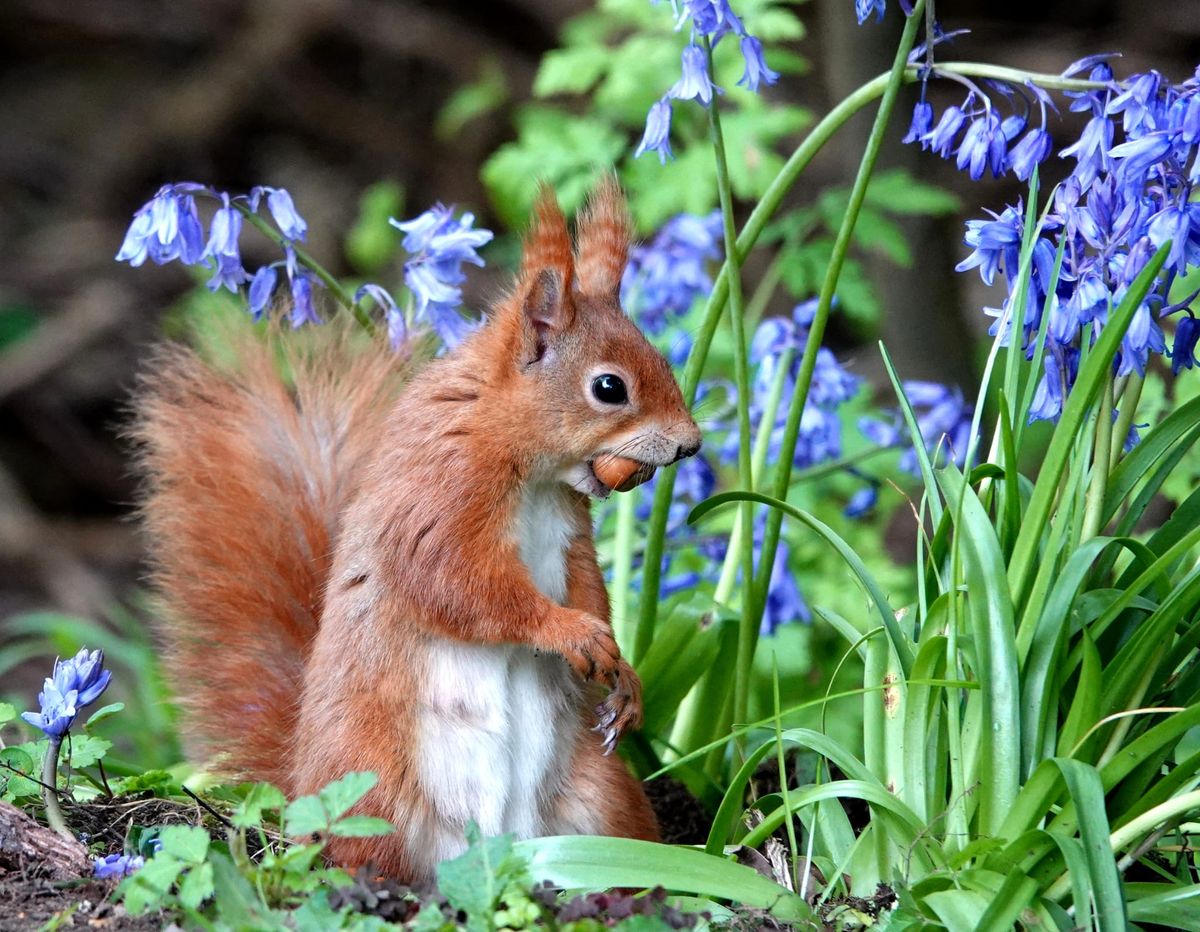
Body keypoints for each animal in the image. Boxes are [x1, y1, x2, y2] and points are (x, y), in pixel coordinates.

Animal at [133, 179, 700, 878]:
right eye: (609, 388)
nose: (690, 445)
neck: (531, 470)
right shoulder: (437, 500)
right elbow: (460, 587)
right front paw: (570, 632)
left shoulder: (572, 534)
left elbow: (588, 584)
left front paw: (622, 672)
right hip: (372, 788)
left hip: (601, 791)